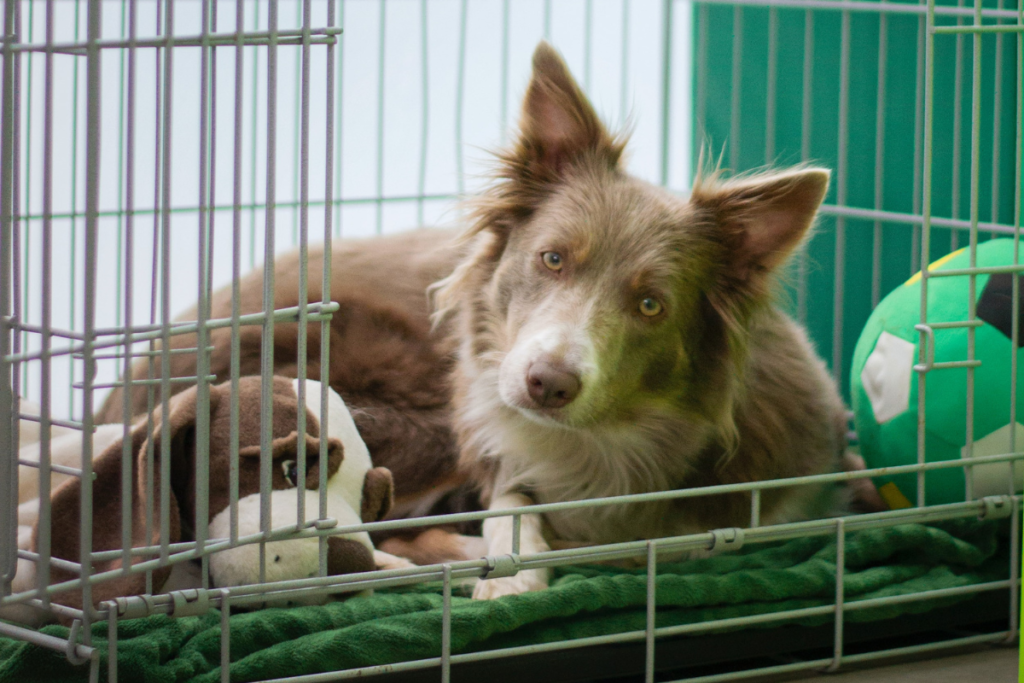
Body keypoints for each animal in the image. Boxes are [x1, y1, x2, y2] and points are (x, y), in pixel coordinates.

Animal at [96, 41, 847, 598]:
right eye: (552, 258)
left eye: (650, 304)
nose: (548, 383)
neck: (605, 446)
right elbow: (513, 507)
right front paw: (512, 564)